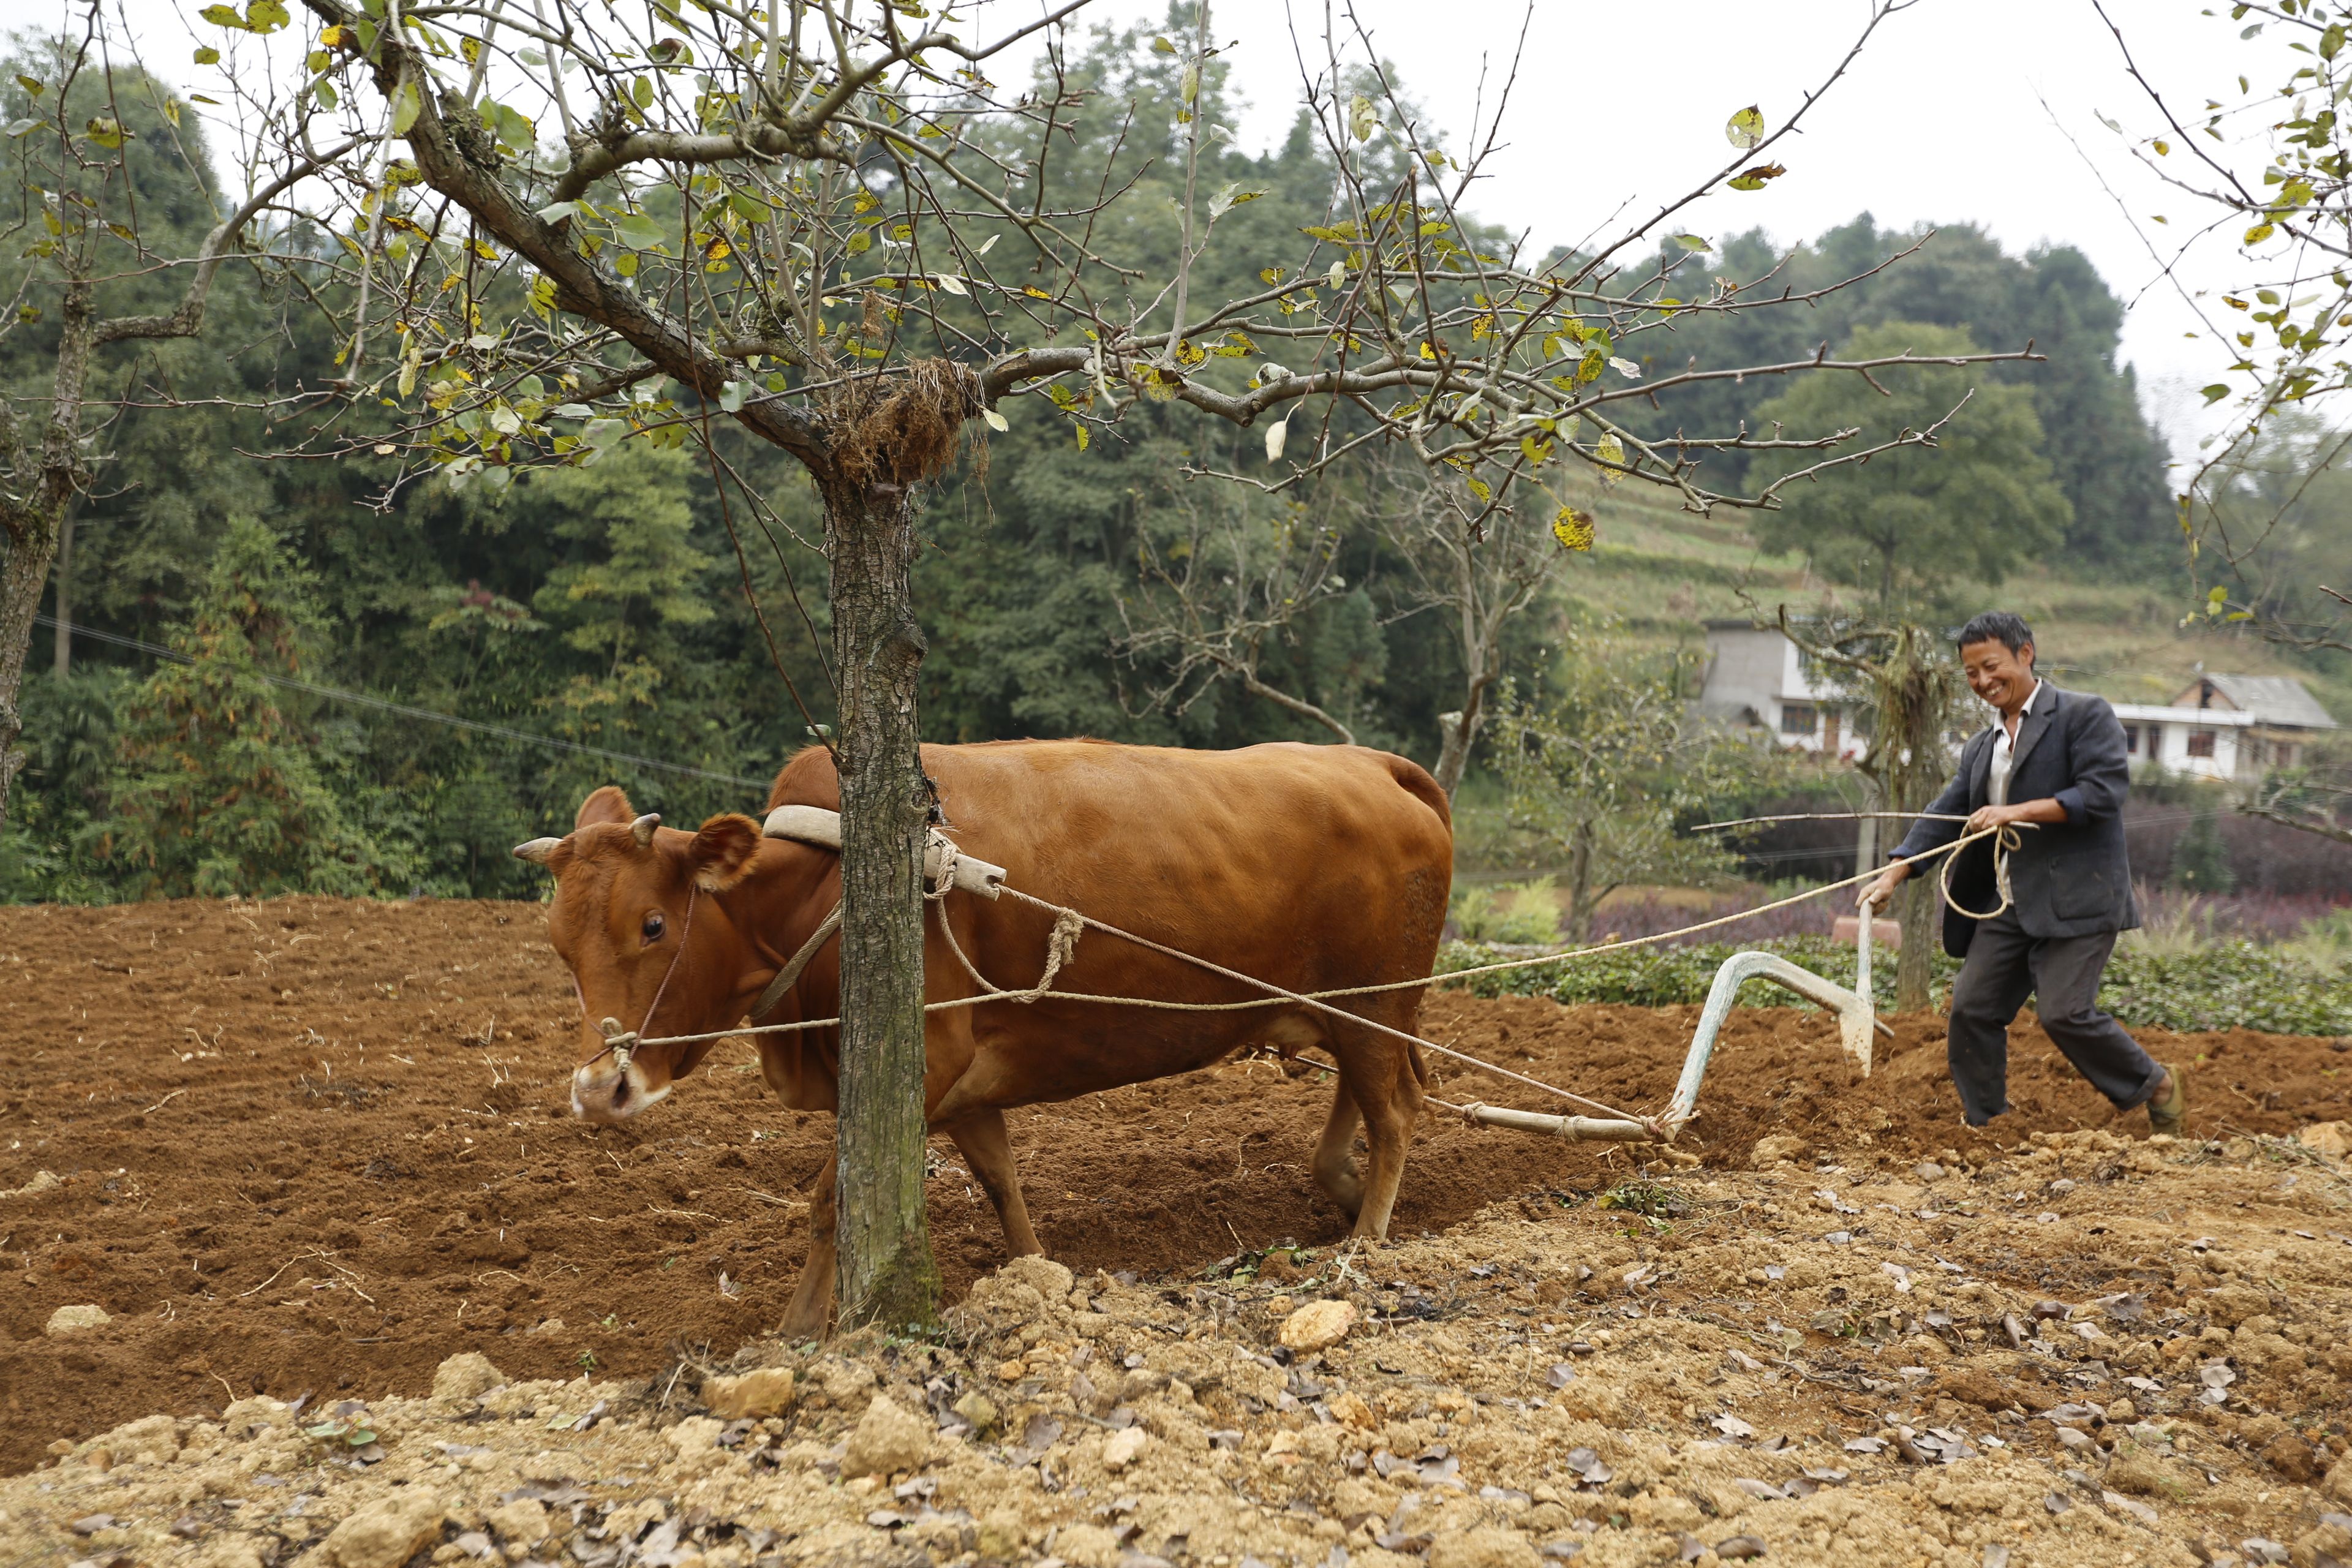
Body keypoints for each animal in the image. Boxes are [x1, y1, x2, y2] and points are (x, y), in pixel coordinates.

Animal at [514, 739, 1453, 1335]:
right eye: (556, 943)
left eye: (653, 924)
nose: (599, 1090)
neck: (825, 890)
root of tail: (1376, 764)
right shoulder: (961, 1088)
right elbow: (1002, 1185)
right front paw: (1040, 1278)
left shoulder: (924, 1063)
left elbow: (834, 1200)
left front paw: (802, 1326)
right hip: (1346, 1008)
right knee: (1361, 1099)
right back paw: (1341, 1189)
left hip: (1378, 1004)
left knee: (1397, 1108)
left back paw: (1367, 1243)